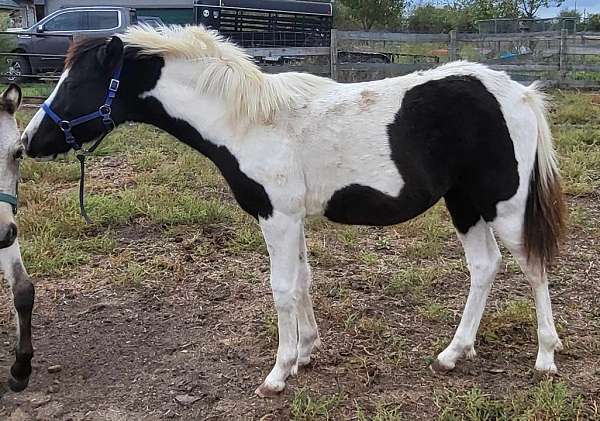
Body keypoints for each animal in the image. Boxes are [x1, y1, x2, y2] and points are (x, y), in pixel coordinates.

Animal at [22, 27, 568, 398]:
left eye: (78, 84)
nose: (29, 142)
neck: (250, 122)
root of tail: (520, 93)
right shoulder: (294, 219)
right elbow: (304, 281)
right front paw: (307, 350)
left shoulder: (277, 216)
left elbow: (282, 289)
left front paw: (278, 372)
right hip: (464, 204)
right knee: (485, 266)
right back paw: (454, 353)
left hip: (504, 204)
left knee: (533, 266)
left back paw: (546, 356)